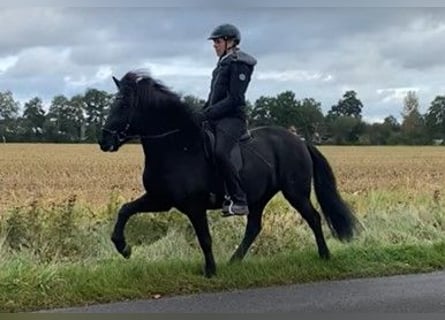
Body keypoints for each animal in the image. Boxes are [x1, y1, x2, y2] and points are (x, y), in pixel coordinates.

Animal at [99, 70, 356, 278]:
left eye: (123, 105)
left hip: (295, 192)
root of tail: (300, 141)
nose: (104, 141)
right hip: (259, 196)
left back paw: (324, 255)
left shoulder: (193, 206)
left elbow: (204, 238)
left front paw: (210, 271)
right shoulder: (160, 199)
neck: (178, 147)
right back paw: (235, 260)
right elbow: (125, 210)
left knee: (313, 218)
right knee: (254, 227)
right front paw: (123, 248)